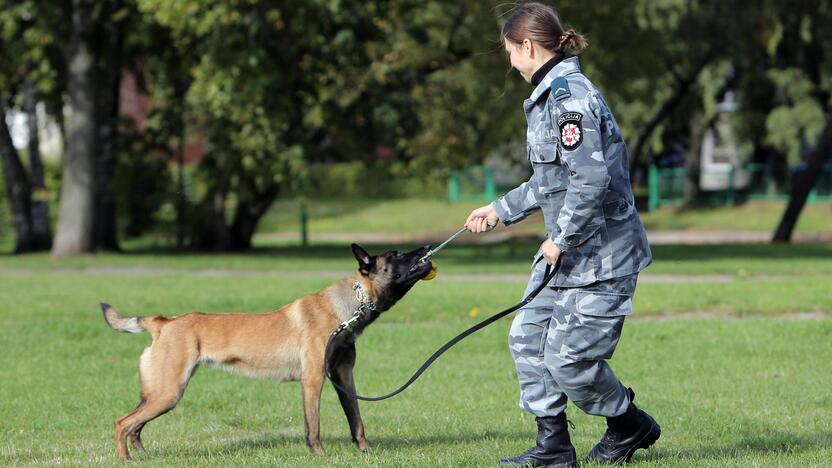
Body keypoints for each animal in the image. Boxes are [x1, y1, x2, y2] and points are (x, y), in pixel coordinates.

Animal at [101, 245, 432, 460]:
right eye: (397, 255)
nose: (428, 247)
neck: (350, 307)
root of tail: (163, 322)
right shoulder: (313, 381)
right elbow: (314, 427)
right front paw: (319, 455)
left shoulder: (344, 379)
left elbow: (357, 421)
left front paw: (365, 451)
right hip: (168, 392)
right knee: (122, 423)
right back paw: (125, 460)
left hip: (161, 393)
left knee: (135, 426)